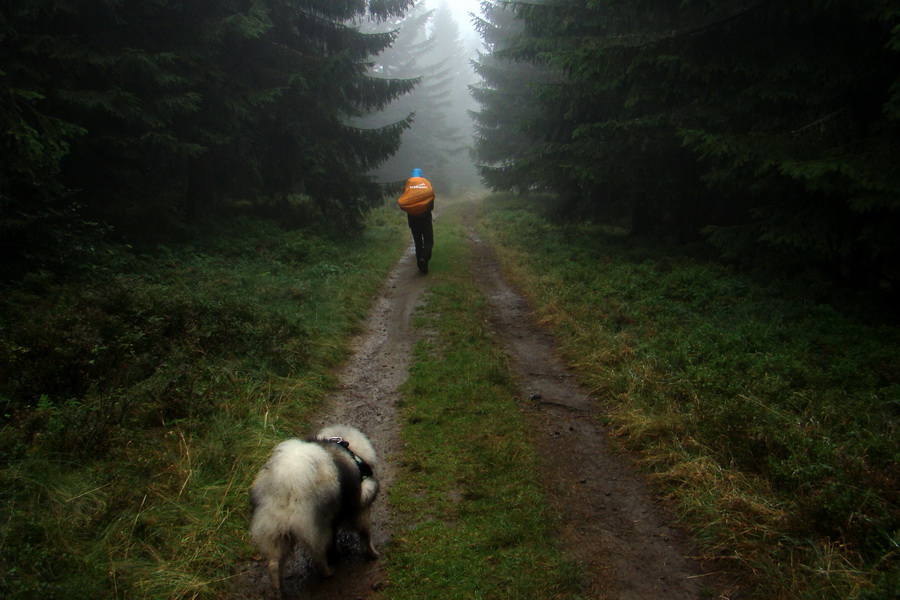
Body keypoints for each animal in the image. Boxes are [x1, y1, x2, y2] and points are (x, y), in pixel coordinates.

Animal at [250, 424, 380, 596]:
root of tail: (288, 481)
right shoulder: (360, 508)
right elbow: (366, 535)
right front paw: (372, 553)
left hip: (276, 532)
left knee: (274, 565)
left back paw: (278, 590)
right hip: (317, 527)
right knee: (318, 556)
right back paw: (328, 572)